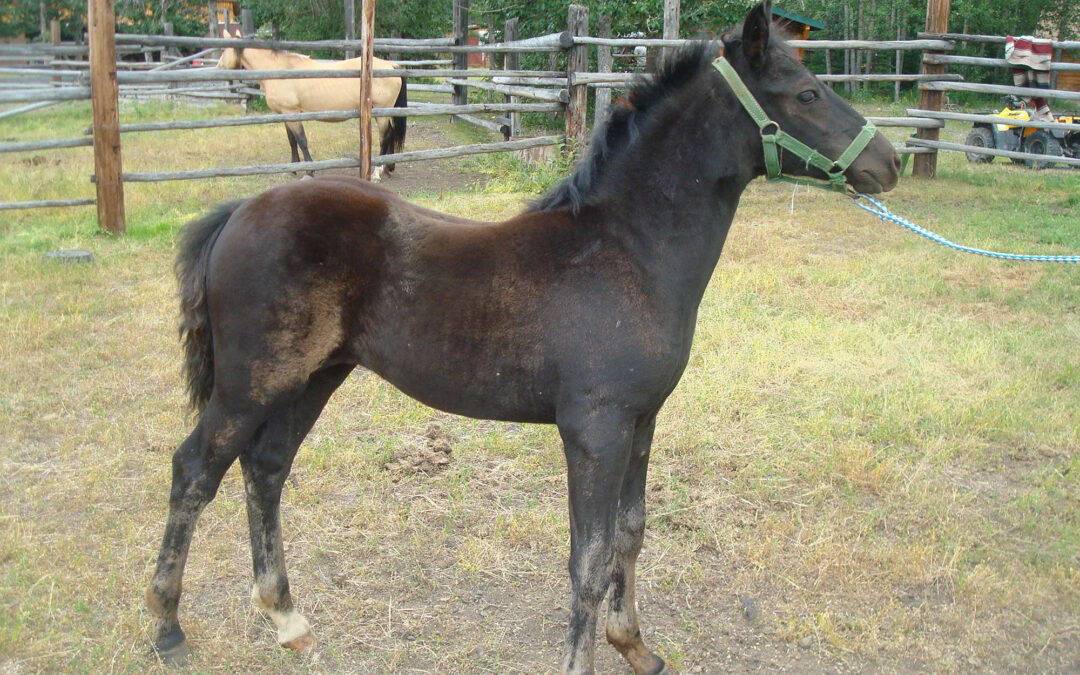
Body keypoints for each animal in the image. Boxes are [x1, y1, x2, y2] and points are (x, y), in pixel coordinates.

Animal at [217, 28, 406, 181]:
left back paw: (377, 172)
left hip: (381, 112)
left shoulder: (292, 112)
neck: (280, 70)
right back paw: (389, 168)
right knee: (391, 134)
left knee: (385, 137)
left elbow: (302, 140)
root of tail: (391, 65)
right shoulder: (284, 114)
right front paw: (292, 169)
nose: (218, 68)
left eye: (223, 49)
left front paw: (309, 171)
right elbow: (292, 141)